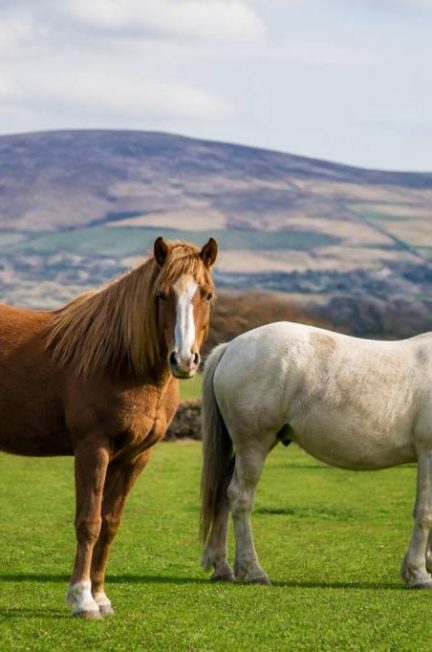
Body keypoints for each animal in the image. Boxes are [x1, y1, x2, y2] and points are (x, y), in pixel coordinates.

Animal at [0, 236, 217, 618]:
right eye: (162, 295)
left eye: (206, 294)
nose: (183, 360)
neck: (119, 360)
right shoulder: (93, 448)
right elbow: (89, 522)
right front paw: (82, 599)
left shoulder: (134, 457)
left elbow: (110, 524)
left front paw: (101, 596)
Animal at [200, 320, 432, 589]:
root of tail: (230, 347)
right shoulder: (428, 453)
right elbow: (425, 513)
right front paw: (419, 573)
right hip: (253, 445)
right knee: (240, 498)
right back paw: (253, 571)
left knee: (222, 492)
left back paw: (222, 567)